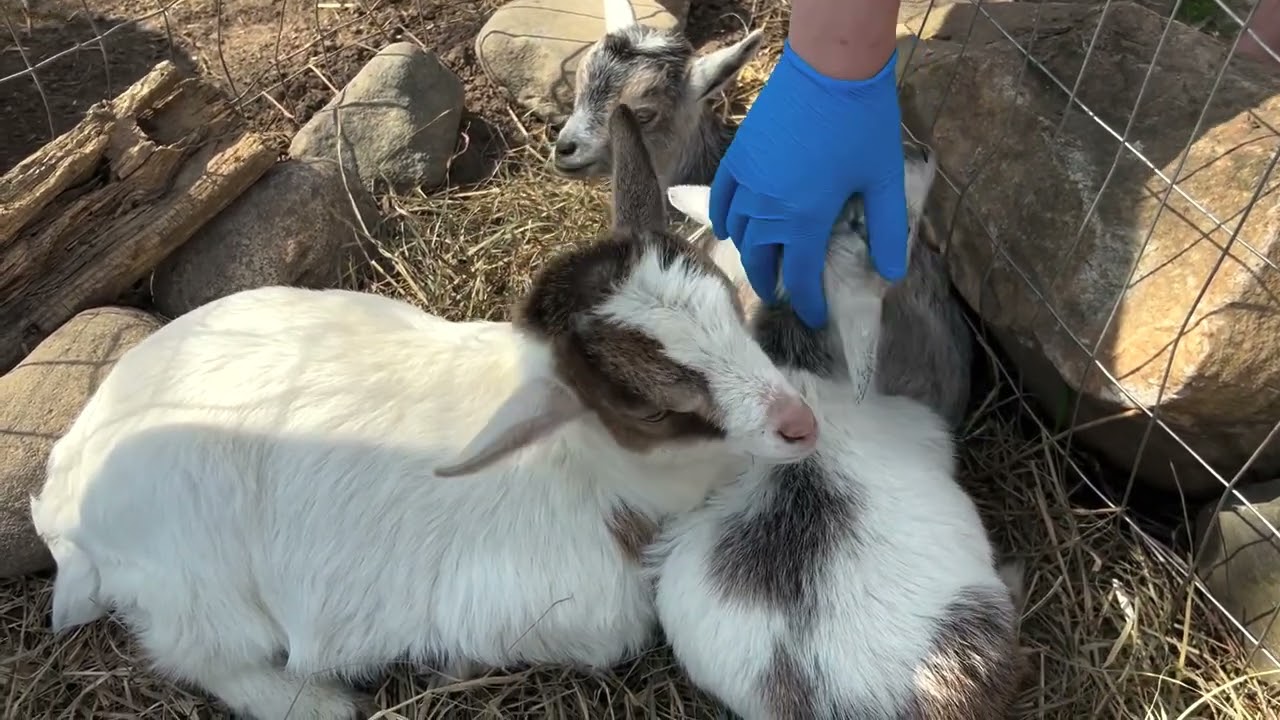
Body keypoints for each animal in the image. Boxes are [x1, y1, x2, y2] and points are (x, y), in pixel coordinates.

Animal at [28, 104, 820, 720]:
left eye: (730, 309)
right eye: (646, 407)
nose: (799, 426)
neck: (590, 464)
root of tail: (65, 490)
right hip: (197, 587)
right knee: (198, 653)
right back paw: (311, 701)